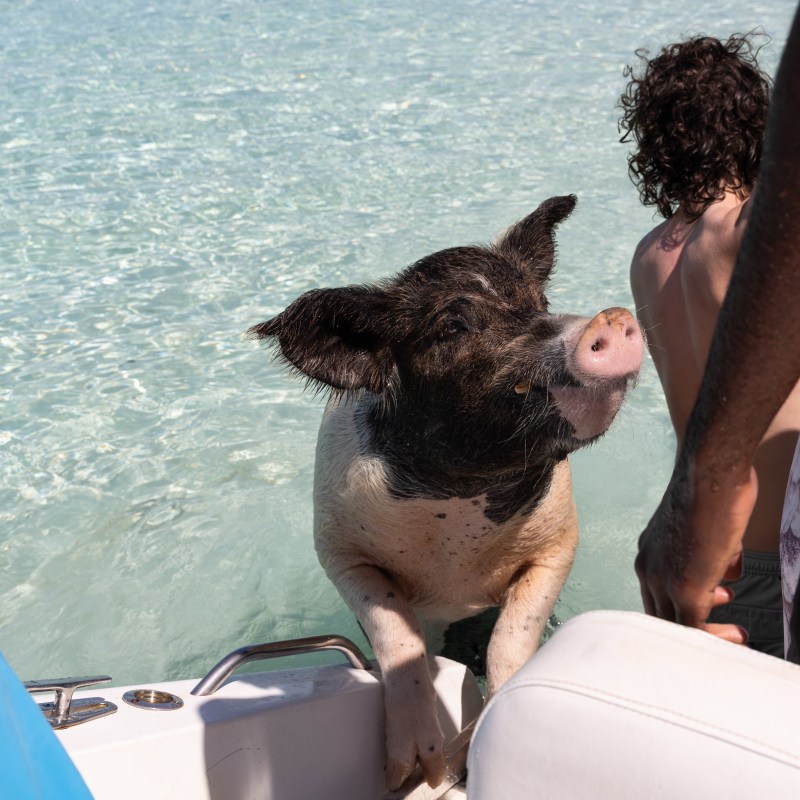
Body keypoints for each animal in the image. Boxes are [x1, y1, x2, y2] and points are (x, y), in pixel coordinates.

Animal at [249, 195, 643, 790]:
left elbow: (512, 637)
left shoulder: (560, 543)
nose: (613, 318)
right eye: (452, 327)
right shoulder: (340, 549)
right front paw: (418, 770)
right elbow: (399, 636)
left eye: (541, 303)